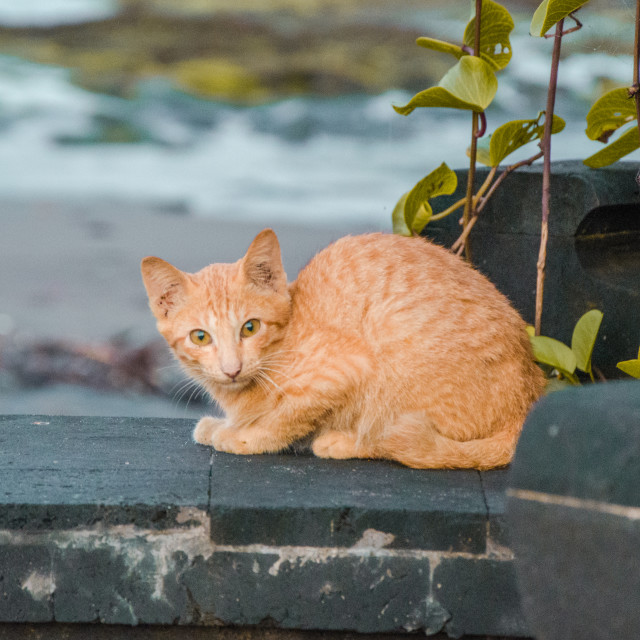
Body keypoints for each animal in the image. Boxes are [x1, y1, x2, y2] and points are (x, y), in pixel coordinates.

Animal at [141, 231, 544, 470]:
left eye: (250, 327)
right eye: (200, 337)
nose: (232, 368)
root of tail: (528, 398)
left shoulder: (346, 369)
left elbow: (287, 416)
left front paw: (243, 435)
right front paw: (225, 424)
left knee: (394, 439)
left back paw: (342, 441)